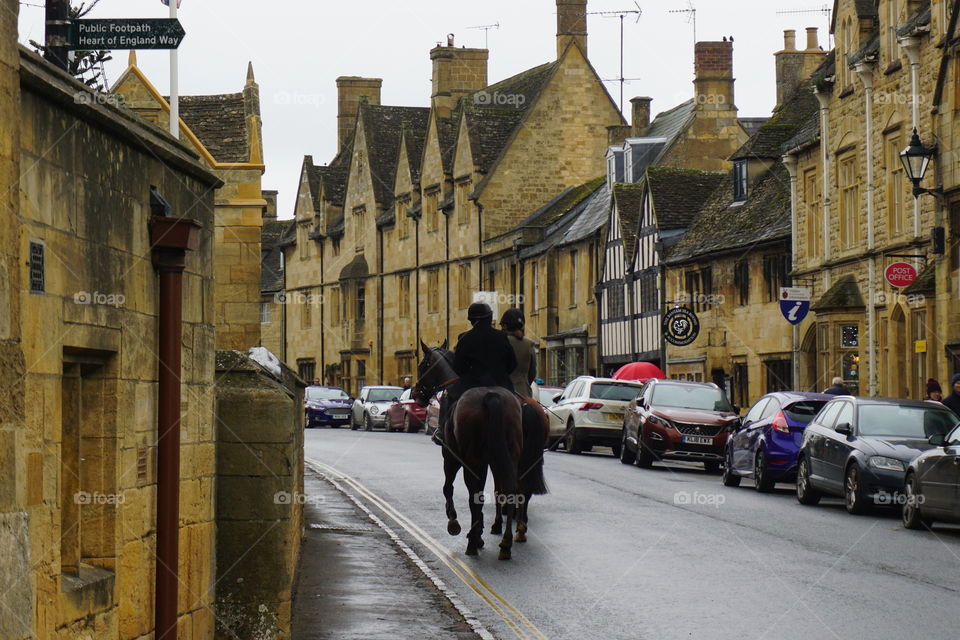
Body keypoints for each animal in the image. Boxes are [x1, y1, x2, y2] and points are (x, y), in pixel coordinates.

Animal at [412, 342, 548, 556]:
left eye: (422, 365)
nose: (416, 394)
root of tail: (492, 396)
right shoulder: (491, 460)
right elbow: (491, 492)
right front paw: (482, 530)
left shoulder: (451, 456)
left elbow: (449, 488)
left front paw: (456, 524)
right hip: (515, 457)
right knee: (515, 490)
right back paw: (510, 538)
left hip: (473, 459)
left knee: (478, 494)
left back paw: (476, 542)